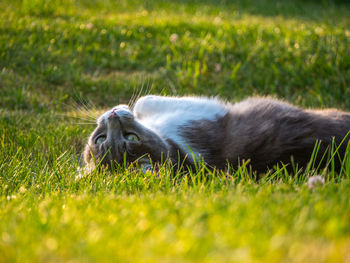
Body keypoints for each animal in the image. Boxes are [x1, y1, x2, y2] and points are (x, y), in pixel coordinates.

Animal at [82, 96, 350, 174]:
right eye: (132, 137)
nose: (113, 115)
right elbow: (144, 101)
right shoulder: (200, 115)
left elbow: (140, 101)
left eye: (99, 139)